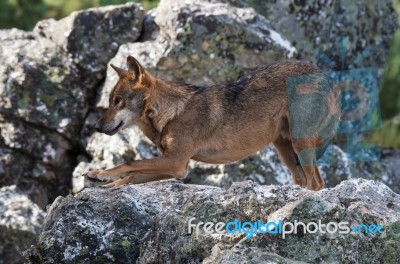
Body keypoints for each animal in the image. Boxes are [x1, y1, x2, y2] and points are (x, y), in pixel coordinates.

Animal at [83, 55, 338, 190]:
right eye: (109, 101)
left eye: (118, 101)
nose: (95, 127)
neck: (170, 112)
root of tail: (324, 76)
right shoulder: (176, 167)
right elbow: (132, 175)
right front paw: (107, 182)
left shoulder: (176, 163)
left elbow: (129, 163)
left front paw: (101, 174)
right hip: (285, 150)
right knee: (304, 180)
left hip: (300, 144)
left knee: (317, 183)